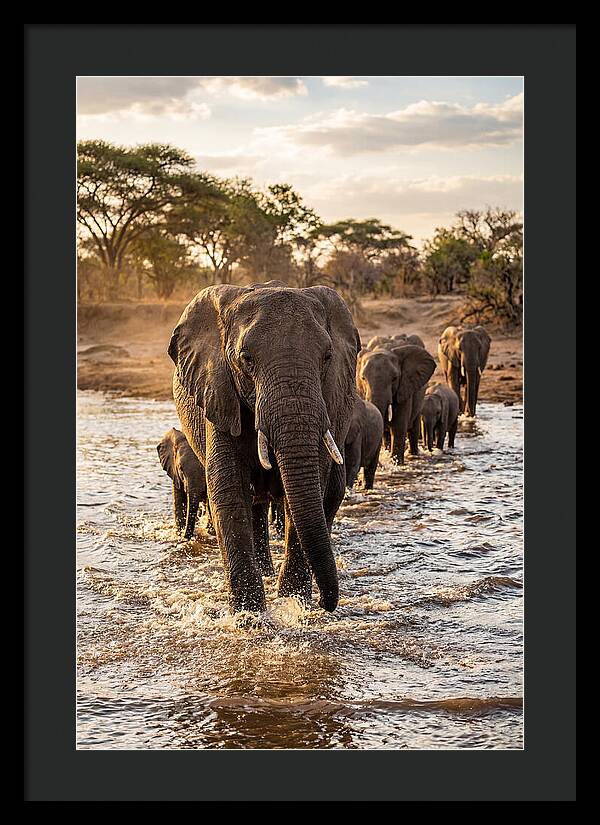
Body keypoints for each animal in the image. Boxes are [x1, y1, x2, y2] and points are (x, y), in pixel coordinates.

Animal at [168, 281, 360, 614]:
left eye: (327, 356)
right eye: (246, 358)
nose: (327, 604)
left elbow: (311, 488)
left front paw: (294, 605)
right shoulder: (219, 392)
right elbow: (229, 490)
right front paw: (250, 617)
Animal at [357, 336, 436, 465]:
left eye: (394, 378)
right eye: (363, 378)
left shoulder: (405, 387)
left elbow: (398, 427)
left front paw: (397, 464)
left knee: (413, 426)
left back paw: (414, 455)